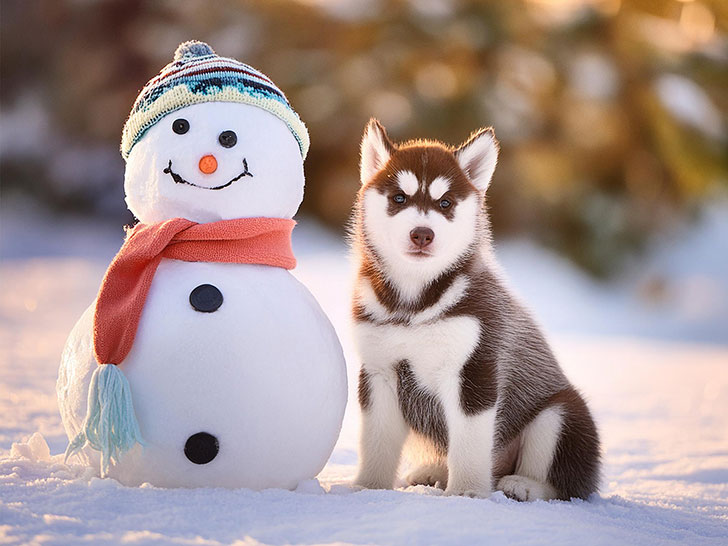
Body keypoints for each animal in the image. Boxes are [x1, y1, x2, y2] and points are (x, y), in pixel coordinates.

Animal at [350, 118, 600, 498]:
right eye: (399, 198)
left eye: (445, 203)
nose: (422, 234)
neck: (415, 303)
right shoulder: (379, 372)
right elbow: (376, 443)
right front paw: (368, 489)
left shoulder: (474, 370)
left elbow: (468, 443)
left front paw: (466, 493)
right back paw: (433, 472)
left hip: (561, 414)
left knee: (564, 485)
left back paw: (524, 486)